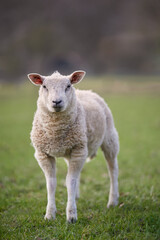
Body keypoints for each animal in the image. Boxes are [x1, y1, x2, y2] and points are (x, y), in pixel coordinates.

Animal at [27, 71, 119, 223]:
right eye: (44, 86)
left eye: (68, 86)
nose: (56, 102)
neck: (55, 130)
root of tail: (87, 91)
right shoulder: (43, 154)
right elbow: (51, 184)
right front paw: (50, 214)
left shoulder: (78, 150)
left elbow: (70, 181)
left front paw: (71, 216)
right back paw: (76, 196)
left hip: (109, 139)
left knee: (113, 170)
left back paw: (113, 201)